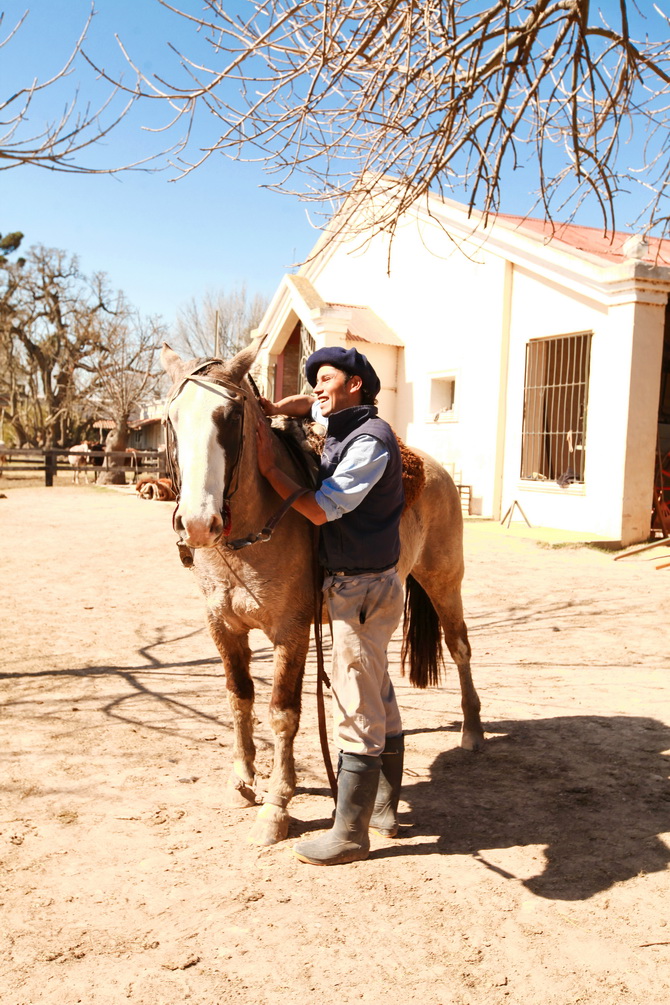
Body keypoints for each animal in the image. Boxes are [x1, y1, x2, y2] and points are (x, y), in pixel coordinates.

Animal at [161, 341, 482, 844]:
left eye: (231, 416)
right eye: (172, 419)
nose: (197, 522)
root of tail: (436, 470)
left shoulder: (291, 632)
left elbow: (282, 712)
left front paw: (276, 807)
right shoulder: (223, 628)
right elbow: (239, 697)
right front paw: (242, 780)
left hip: (445, 582)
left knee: (460, 647)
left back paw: (472, 731)